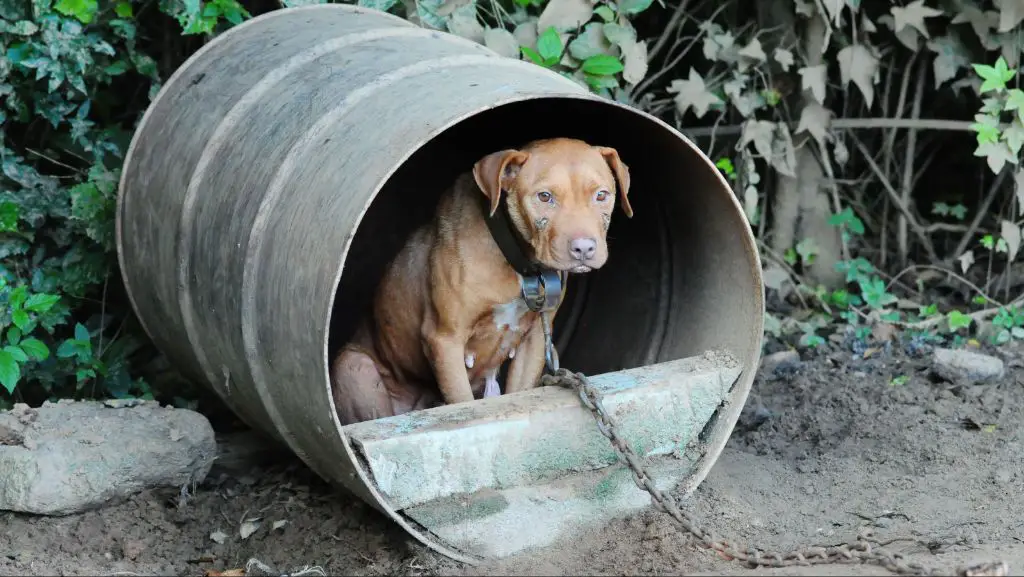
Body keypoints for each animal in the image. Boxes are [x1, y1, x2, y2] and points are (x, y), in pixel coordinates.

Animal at [331, 137, 626, 426]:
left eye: (602, 195)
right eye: (545, 196)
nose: (584, 248)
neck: (522, 267)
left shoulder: (534, 341)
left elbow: (520, 390)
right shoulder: (445, 339)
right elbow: (462, 404)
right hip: (354, 366)